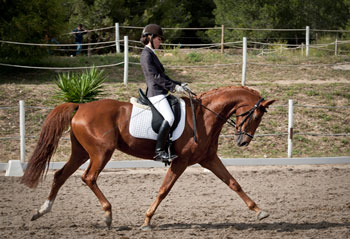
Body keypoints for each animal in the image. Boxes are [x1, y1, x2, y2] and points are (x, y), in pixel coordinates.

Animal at [20, 86, 274, 230]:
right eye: (255, 117)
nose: (243, 142)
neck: (204, 117)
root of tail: (81, 106)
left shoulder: (209, 159)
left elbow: (233, 183)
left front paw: (259, 211)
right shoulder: (180, 161)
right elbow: (164, 190)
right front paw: (147, 221)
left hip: (81, 152)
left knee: (60, 175)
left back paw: (41, 211)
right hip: (101, 152)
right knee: (89, 178)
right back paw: (108, 215)